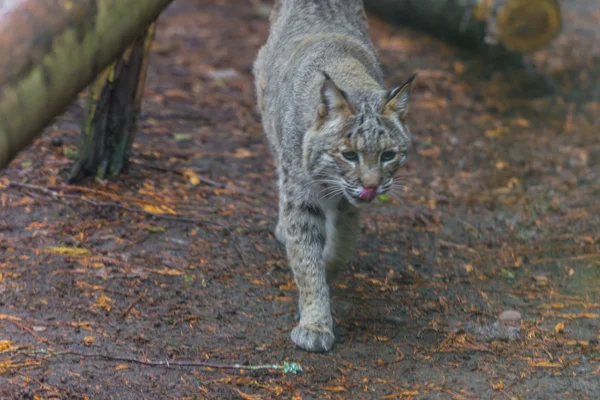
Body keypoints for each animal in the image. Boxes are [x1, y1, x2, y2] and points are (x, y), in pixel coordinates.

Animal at [251, 0, 414, 352]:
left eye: (388, 155)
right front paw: (315, 323)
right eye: (349, 155)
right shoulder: (301, 195)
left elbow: (342, 243)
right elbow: (306, 258)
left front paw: (327, 270)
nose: (371, 186)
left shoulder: (347, 202)